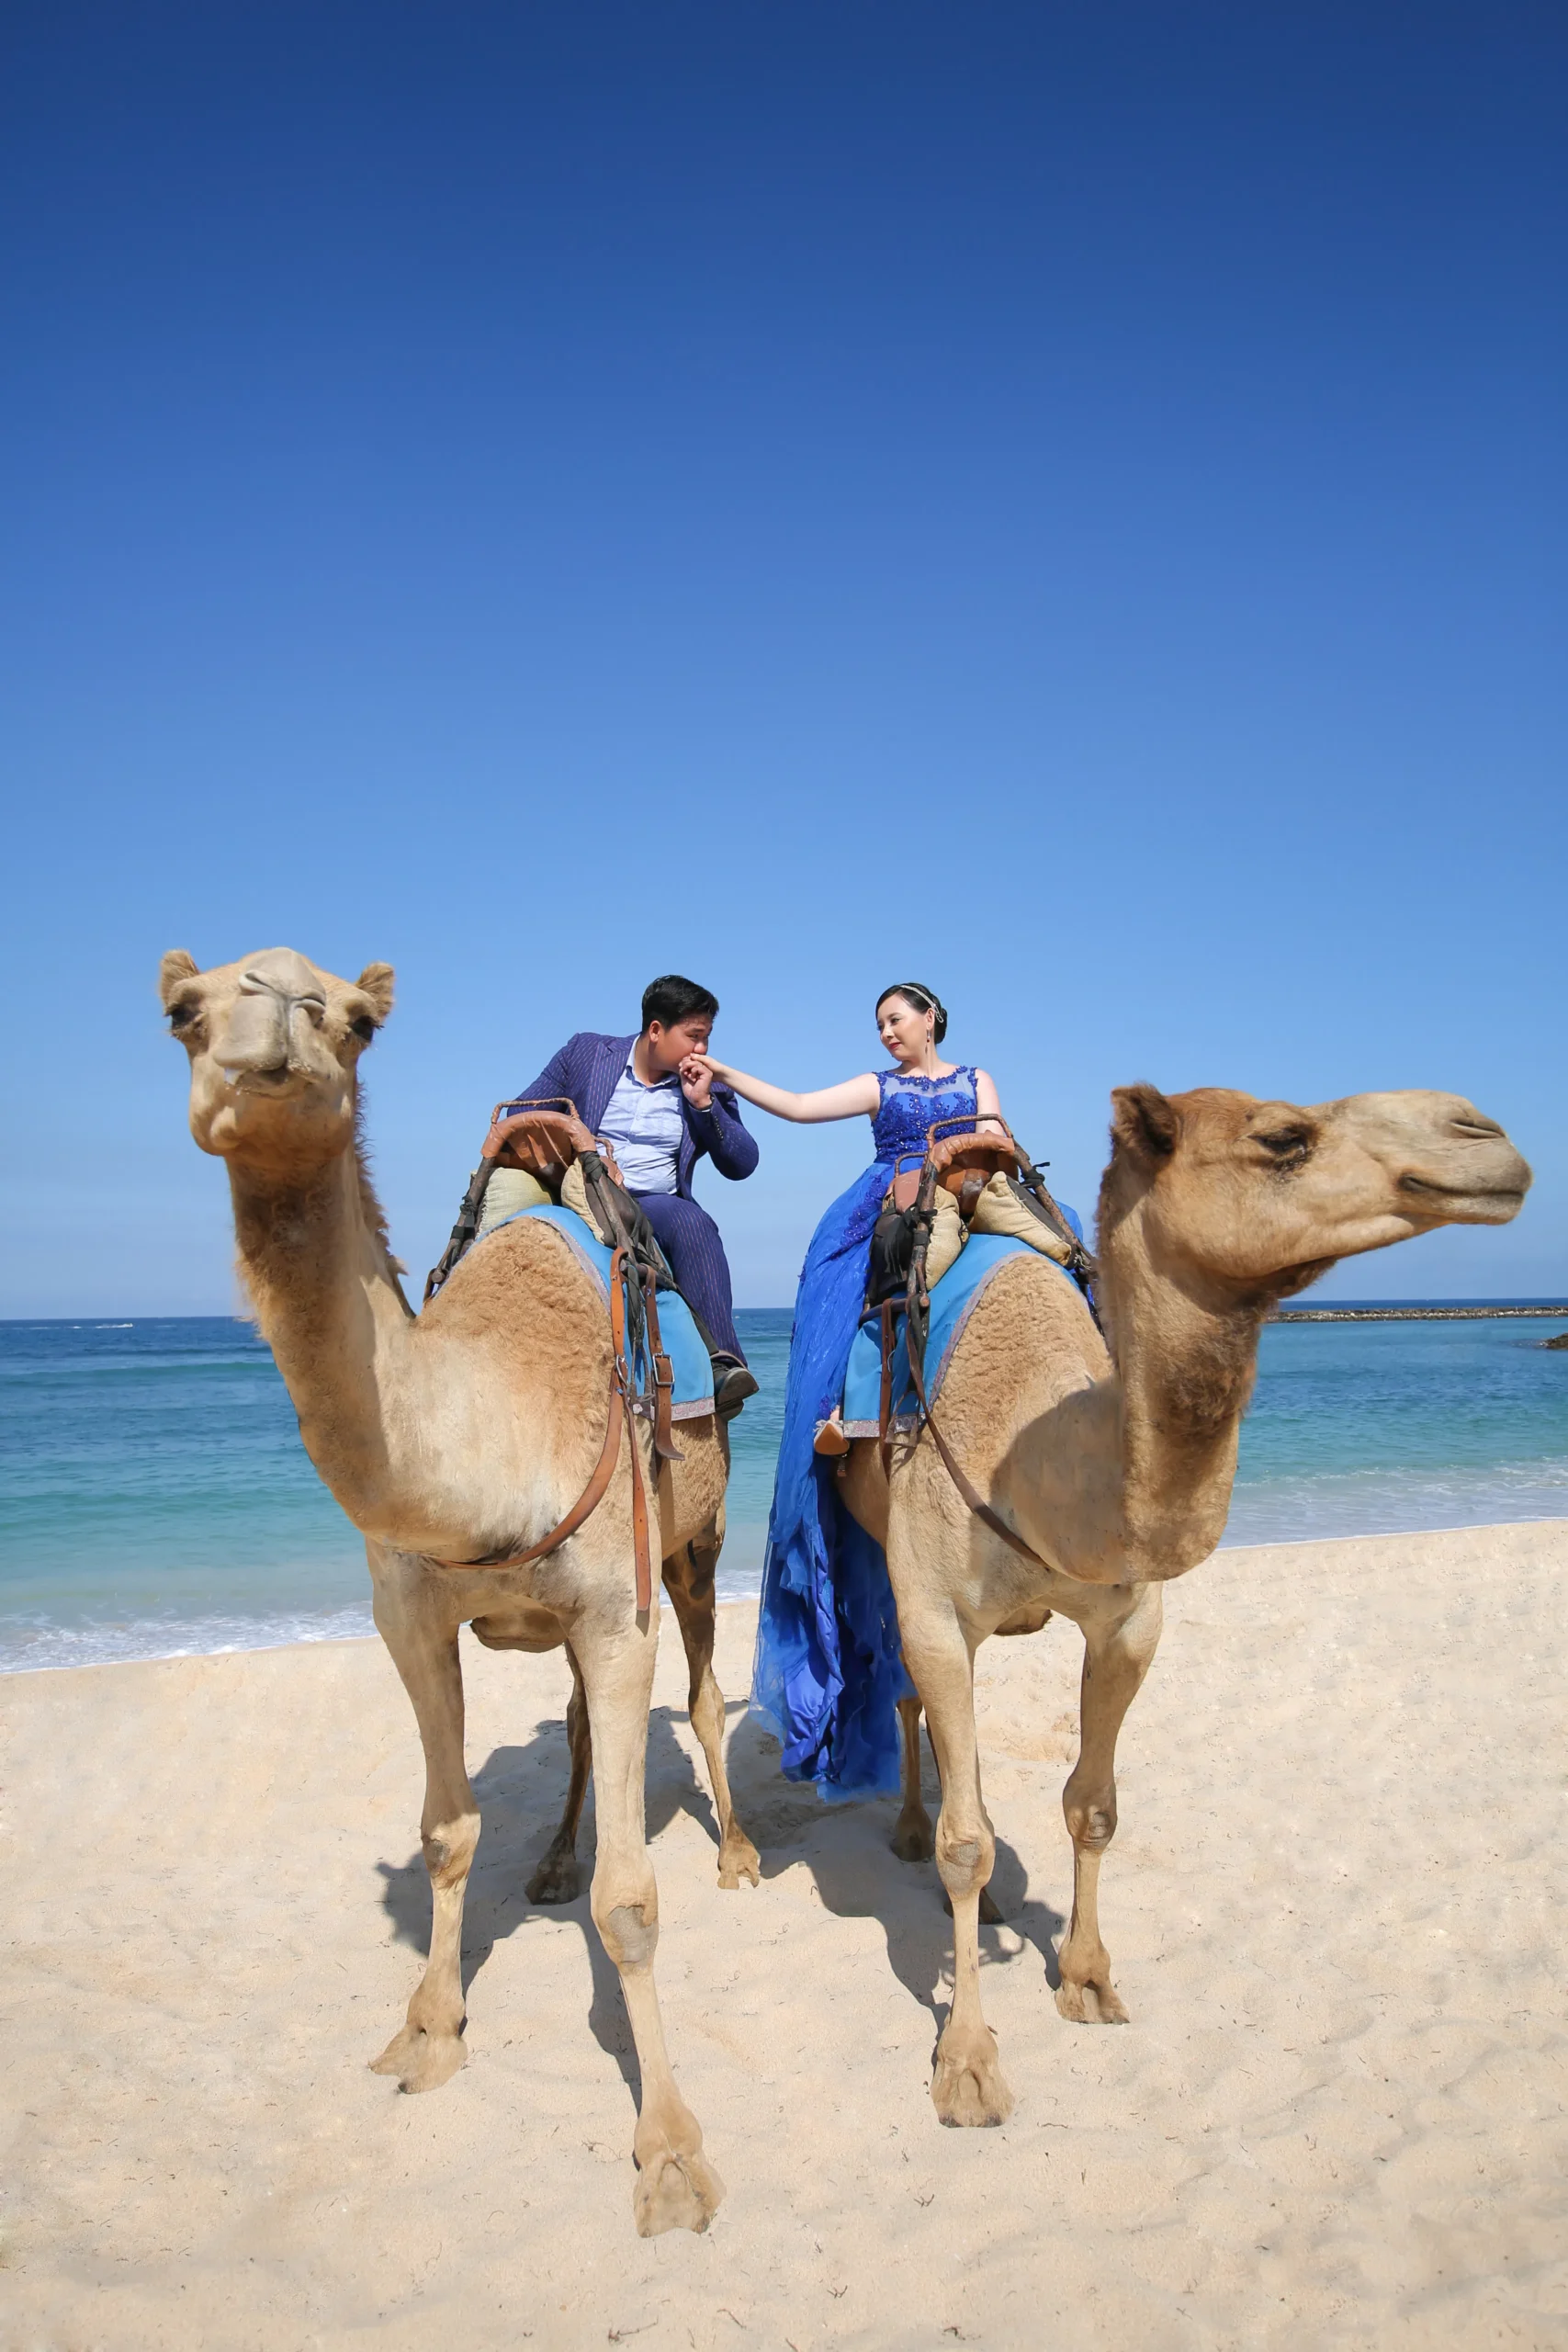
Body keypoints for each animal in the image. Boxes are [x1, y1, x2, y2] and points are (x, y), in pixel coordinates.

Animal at [160, 944, 758, 2237]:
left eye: (354, 1017)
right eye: (182, 1009)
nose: (265, 1027)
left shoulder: (620, 1609)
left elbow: (632, 1903)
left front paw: (670, 2151)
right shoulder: (410, 1617)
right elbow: (446, 1830)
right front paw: (428, 2031)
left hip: (691, 1546)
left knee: (700, 1694)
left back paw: (738, 1852)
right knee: (578, 1733)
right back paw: (551, 1866)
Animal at [839, 1083, 1529, 2127]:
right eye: (1283, 1138)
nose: (1484, 1136)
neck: (1034, 1454)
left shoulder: (1130, 1624)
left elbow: (1092, 1807)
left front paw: (1086, 1980)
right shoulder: (932, 1607)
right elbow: (964, 1842)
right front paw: (965, 2064)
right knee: (912, 1704)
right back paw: (914, 1831)